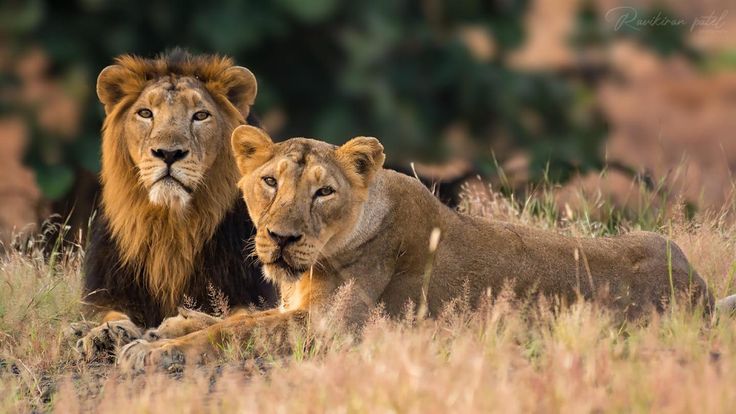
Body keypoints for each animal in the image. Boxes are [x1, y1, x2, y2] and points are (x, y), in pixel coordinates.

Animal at [71, 51, 278, 361]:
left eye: (200, 115)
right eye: (145, 113)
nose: (168, 154)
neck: (171, 223)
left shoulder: (255, 293)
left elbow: (238, 319)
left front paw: (178, 327)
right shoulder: (109, 289)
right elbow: (109, 313)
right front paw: (104, 334)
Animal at [117, 126, 735, 373]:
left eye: (323, 192)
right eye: (269, 182)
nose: (283, 238)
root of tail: (701, 291)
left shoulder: (330, 331)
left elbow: (237, 330)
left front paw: (153, 351)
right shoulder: (297, 308)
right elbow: (239, 314)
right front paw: (163, 329)